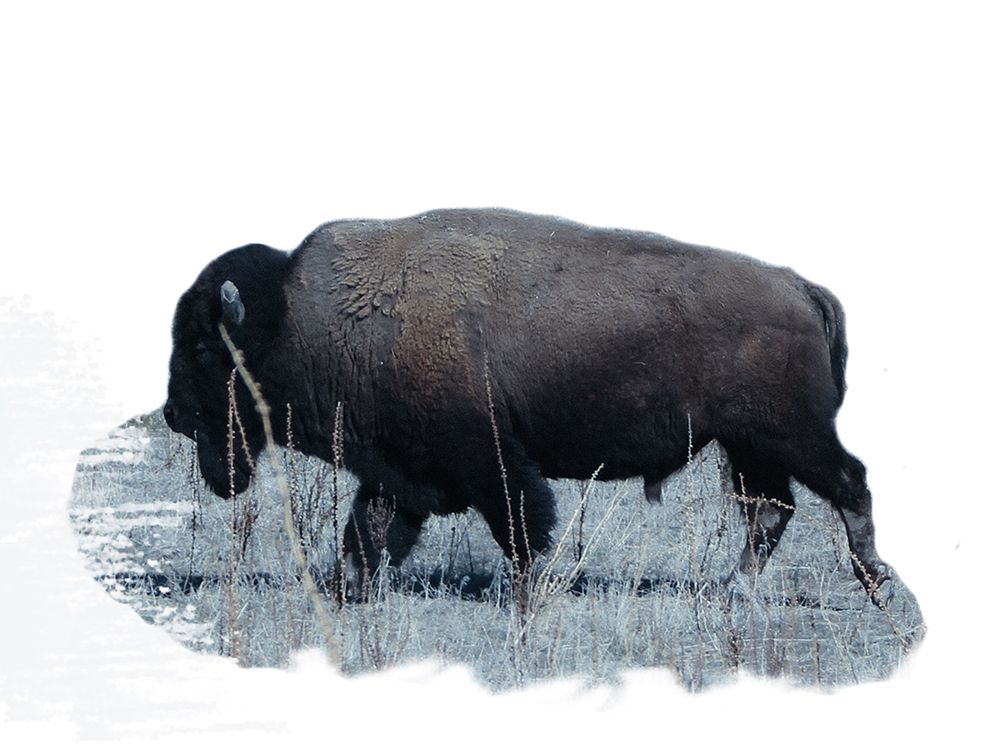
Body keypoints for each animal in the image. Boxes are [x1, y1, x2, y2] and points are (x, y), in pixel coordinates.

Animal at [163, 208, 891, 596]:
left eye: (202, 347)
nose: (171, 412)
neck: (298, 315)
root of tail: (799, 285)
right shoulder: (395, 467)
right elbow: (367, 531)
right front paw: (349, 590)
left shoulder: (489, 458)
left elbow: (520, 525)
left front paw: (531, 591)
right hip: (748, 446)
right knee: (771, 510)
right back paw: (734, 589)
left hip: (789, 436)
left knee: (846, 484)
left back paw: (873, 579)